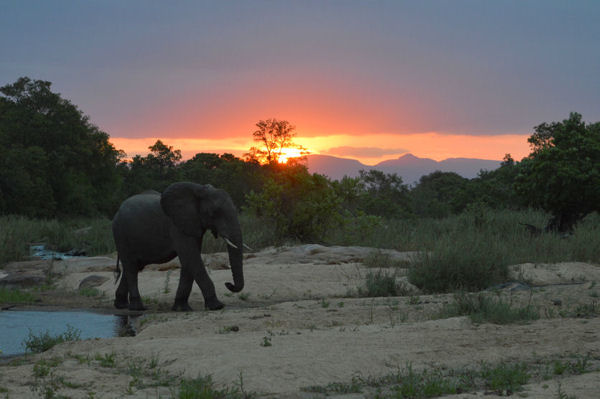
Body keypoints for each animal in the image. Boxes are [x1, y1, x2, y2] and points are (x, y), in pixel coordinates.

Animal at [111, 182, 245, 312]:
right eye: (214, 213)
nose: (228, 284)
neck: (199, 190)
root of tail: (118, 211)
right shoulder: (177, 226)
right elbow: (191, 258)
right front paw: (217, 306)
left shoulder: (192, 224)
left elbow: (188, 261)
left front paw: (182, 308)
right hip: (121, 234)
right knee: (131, 266)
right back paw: (138, 308)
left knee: (134, 266)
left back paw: (121, 305)